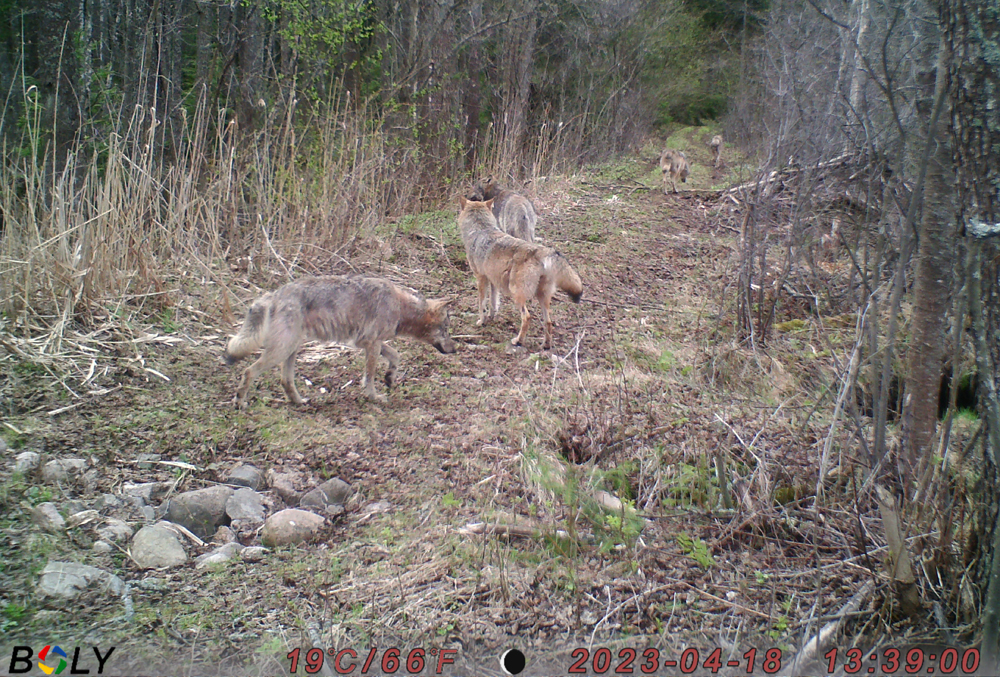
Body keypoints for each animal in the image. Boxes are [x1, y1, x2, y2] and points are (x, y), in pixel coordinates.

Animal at [224, 275, 457, 407]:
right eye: (446, 330)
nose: (455, 349)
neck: (400, 307)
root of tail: (274, 294)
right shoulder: (371, 344)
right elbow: (370, 377)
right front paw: (374, 397)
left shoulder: (367, 342)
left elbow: (395, 356)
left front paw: (390, 378)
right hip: (282, 350)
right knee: (249, 371)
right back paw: (240, 402)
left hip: (291, 350)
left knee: (285, 380)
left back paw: (299, 402)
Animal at [458, 196, 582, 350]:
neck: (481, 230)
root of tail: (542, 251)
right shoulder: (493, 281)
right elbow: (493, 303)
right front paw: (491, 317)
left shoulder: (481, 279)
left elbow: (482, 304)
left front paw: (481, 321)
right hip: (541, 297)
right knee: (548, 322)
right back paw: (546, 345)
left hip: (517, 295)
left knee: (527, 317)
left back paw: (518, 341)